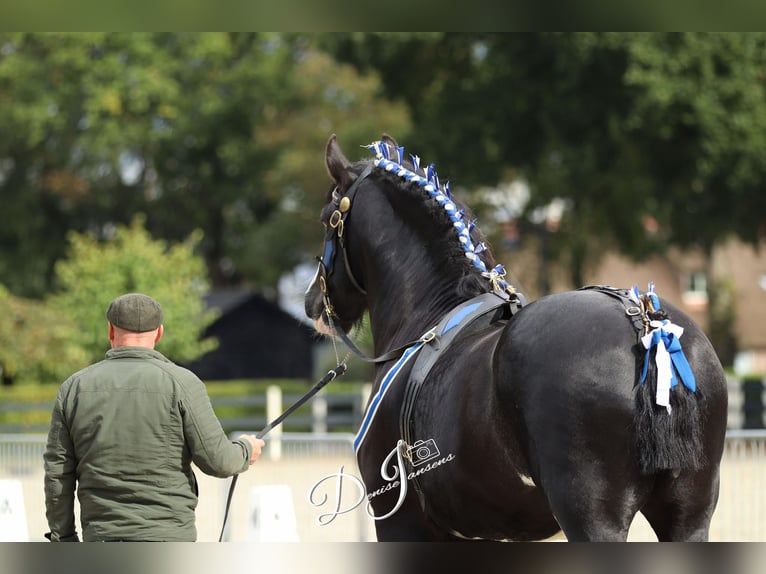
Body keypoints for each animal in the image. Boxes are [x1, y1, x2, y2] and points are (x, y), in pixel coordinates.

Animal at [304, 133, 728, 541]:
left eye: (326, 220)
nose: (311, 303)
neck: (428, 317)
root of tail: (644, 323)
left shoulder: (401, 522)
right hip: (688, 518)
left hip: (593, 521)